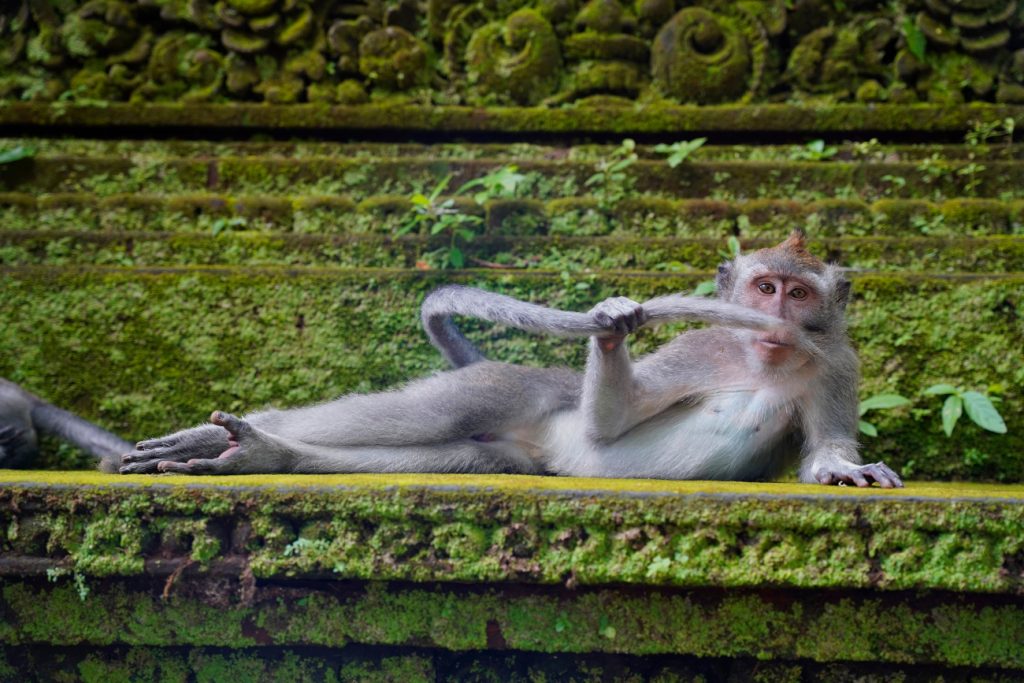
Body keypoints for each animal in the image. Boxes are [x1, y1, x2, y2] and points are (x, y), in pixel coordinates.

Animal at [0, 232, 905, 489]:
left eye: (797, 290)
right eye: (762, 286)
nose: (776, 318)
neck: (762, 358)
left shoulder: (836, 364)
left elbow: (826, 444)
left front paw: (843, 468)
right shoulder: (701, 347)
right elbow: (610, 427)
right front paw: (613, 322)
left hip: (508, 450)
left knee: (447, 449)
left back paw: (263, 453)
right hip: (504, 386)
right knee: (424, 413)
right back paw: (228, 435)